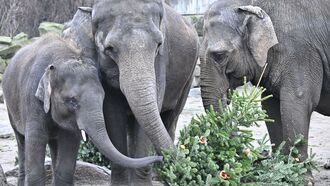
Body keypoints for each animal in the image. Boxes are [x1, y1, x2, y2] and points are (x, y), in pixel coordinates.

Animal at [1, 33, 162, 186]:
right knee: (21, 141)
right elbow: (36, 141)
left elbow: (70, 143)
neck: (60, 59)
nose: (160, 157)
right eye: (72, 101)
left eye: (103, 98)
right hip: (10, 108)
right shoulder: (32, 100)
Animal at [84, 0, 200, 185]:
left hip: (190, 73)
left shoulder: (160, 60)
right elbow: (112, 112)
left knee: (171, 117)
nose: (187, 168)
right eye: (109, 48)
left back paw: (160, 174)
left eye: (159, 44)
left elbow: (153, 107)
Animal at [200, 0, 330, 163]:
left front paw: (299, 170)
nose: (263, 153)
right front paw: (281, 165)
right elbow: (270, 107)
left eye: (219, 55)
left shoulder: (301, 52)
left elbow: (296, 102)